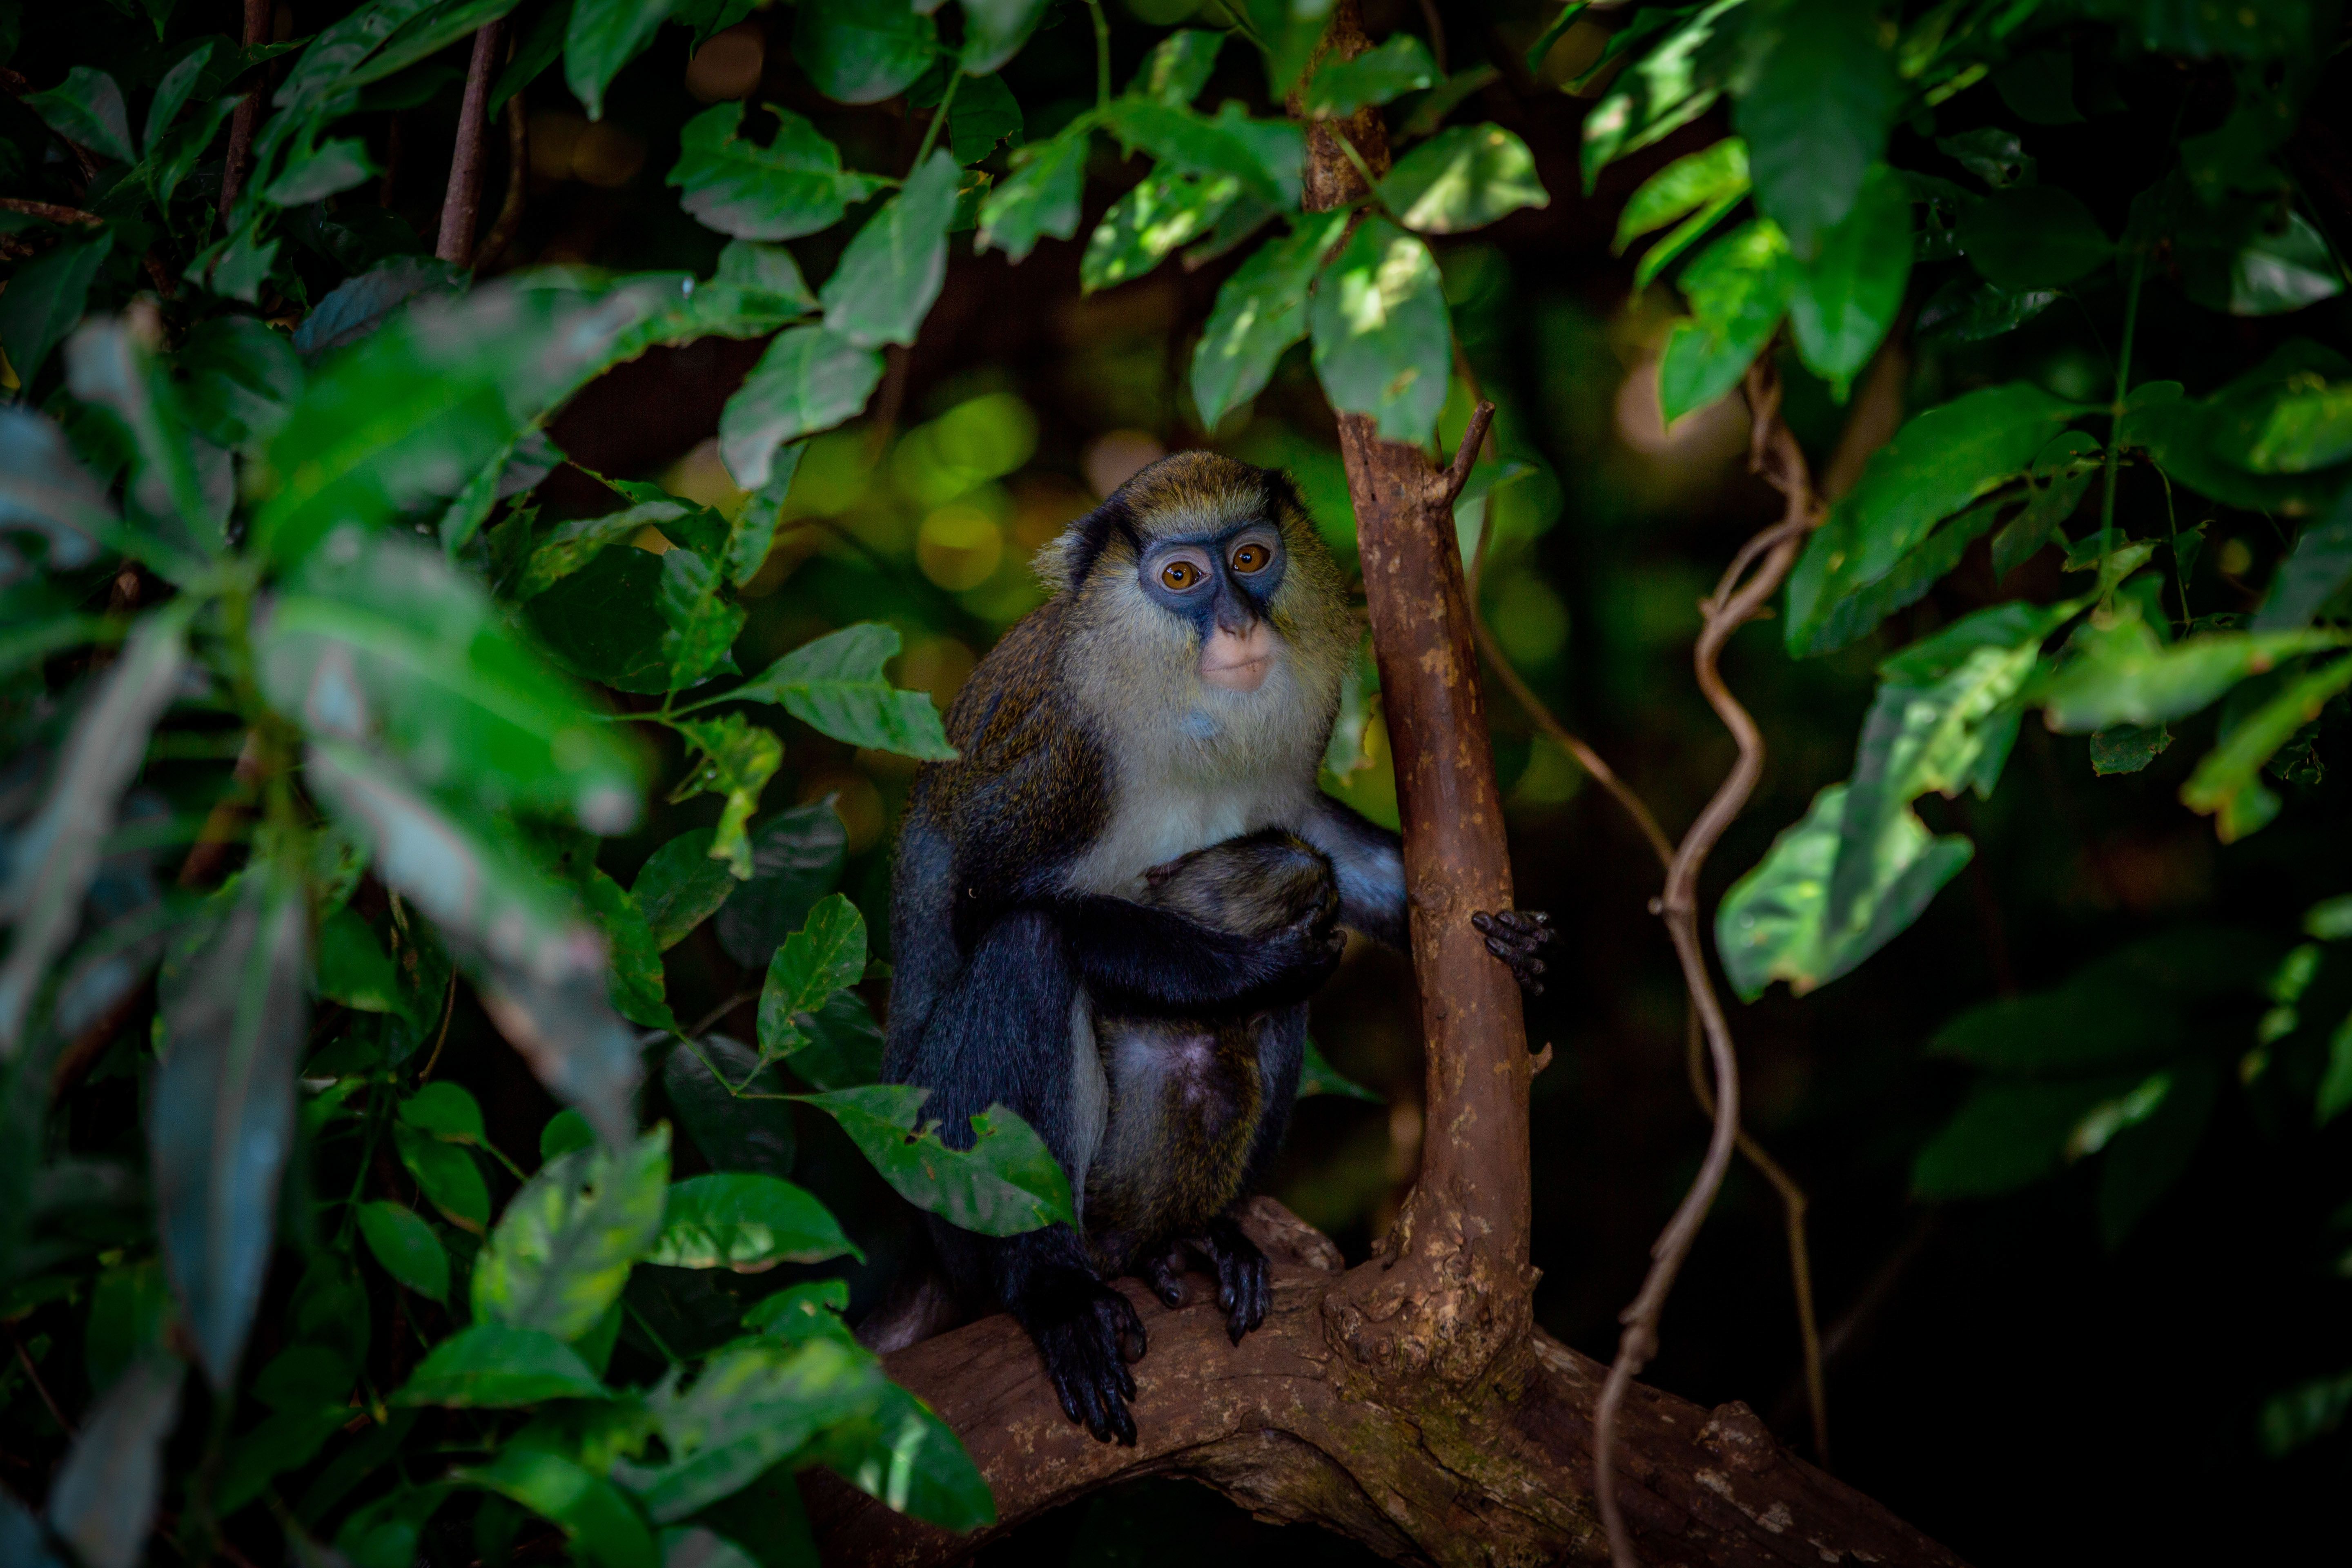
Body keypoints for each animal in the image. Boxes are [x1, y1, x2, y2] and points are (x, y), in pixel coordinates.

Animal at [880, 452, 1554, 1446]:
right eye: (1181, 577)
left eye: (1251, 557)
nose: (1238, 623)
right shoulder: (1058, 764)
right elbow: (994, 909)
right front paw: (1245, 968)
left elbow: (1316, 846)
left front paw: (1517, 938)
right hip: (937, 1156)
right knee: (1029, 948)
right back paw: (1053, 1285)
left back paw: (1190, 1239)